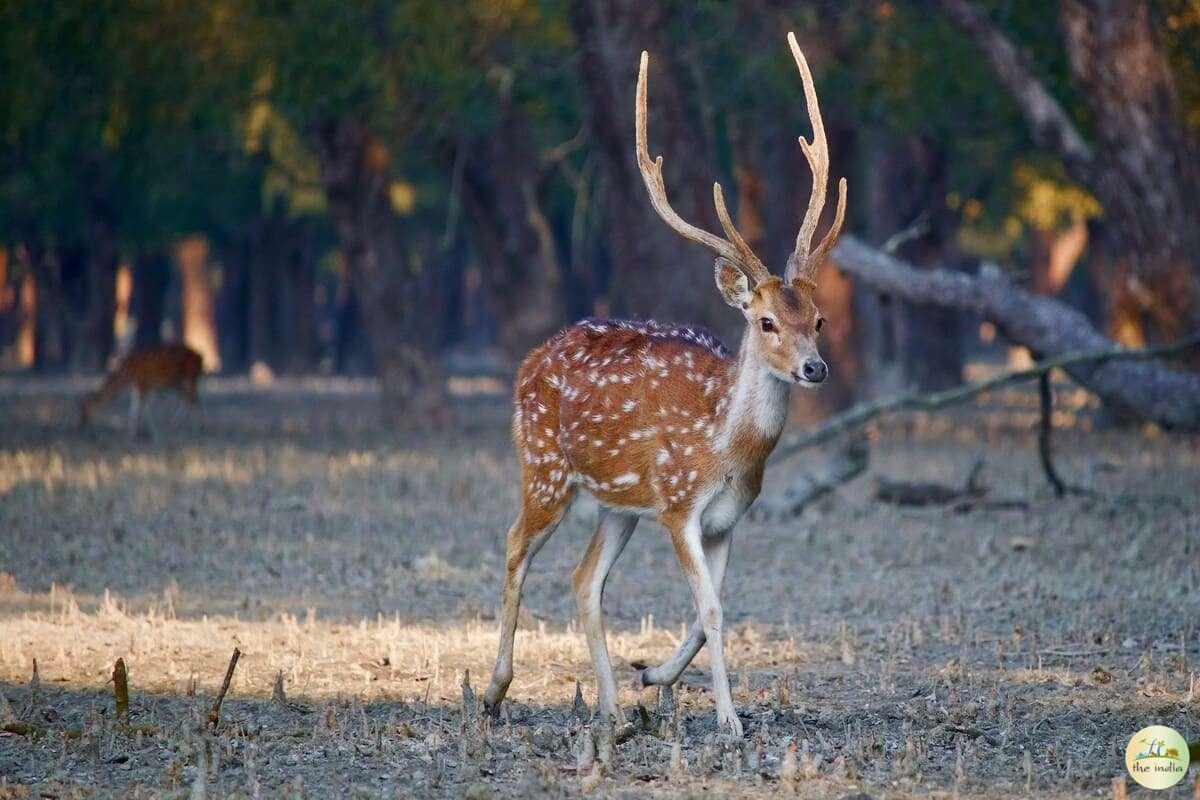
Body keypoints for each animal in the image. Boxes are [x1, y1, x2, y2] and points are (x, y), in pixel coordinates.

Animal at [482, 32, 849, 738]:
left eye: (817, 318)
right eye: (766, 320)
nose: (815, 368)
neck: (726, 450)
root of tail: (529, 361)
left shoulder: (728, 518)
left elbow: (716, 610)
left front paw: (653, 677)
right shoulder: (679, 507)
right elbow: (711, 610)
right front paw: (730, 721)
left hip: (618, 503)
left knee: (584, 579)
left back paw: (611, 707)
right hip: (545, 468)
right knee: (516, 546)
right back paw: (493, 691)